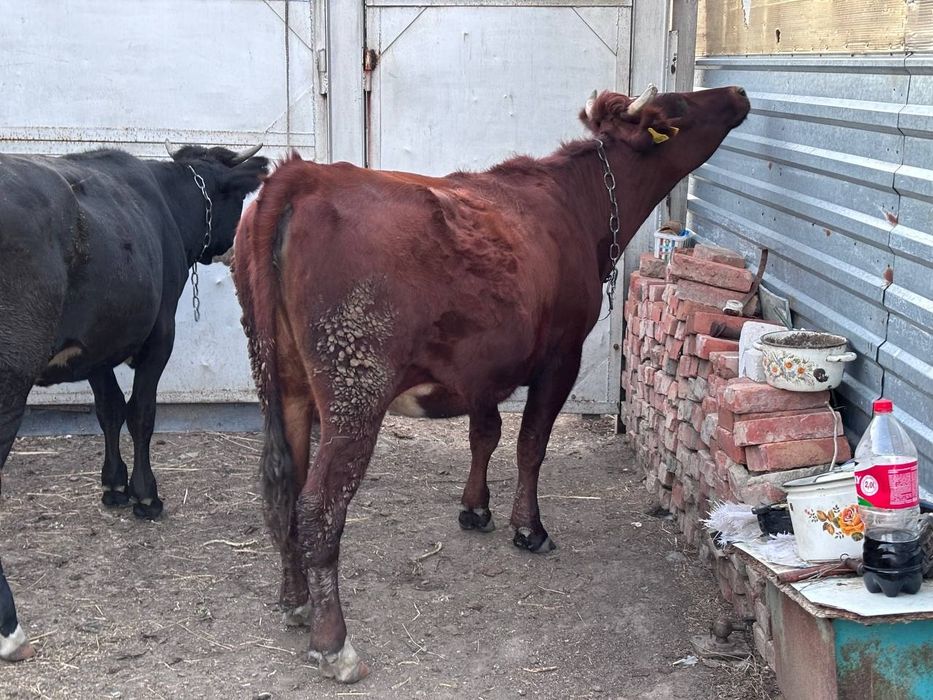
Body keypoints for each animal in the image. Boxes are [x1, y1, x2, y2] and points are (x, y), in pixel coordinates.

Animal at [0, 144, 269, 662]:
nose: (234, 248)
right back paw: (9, 627)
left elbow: (109, 410)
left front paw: (114, 485)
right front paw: (146, 494)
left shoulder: (98, 343)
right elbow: (140, 413)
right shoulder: (159, 334)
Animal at [233, 85, 750, 682]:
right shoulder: (561, 356)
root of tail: (304, 174)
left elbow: (485, 435)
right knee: (318, 505)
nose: (738, 92)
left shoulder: (479, 366)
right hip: (352, 385)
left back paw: (294, 601)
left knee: (282, 493)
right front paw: (528, 528)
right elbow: (530, 445)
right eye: (680, 108)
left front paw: (474, 509)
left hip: (281, 382)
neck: (577, 204)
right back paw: (333, 642)